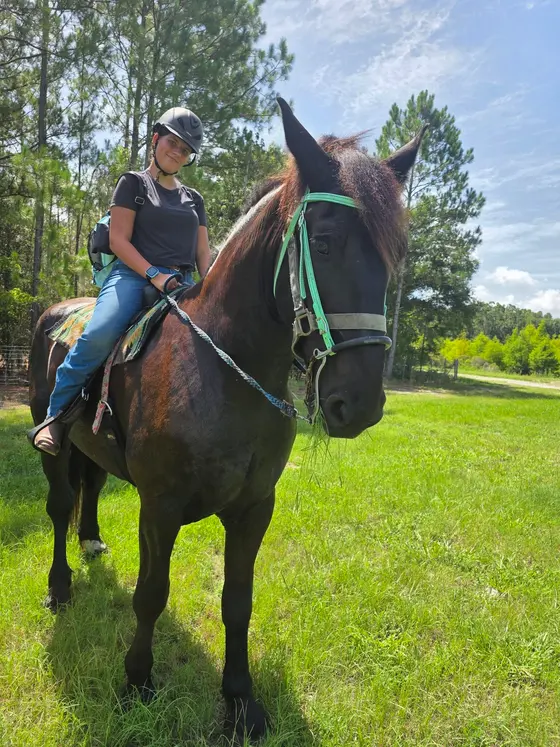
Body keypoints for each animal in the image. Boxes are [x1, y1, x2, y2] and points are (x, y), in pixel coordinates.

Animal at [28, 98, 423, 741]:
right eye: (326, 242)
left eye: (396, 254)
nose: (359, 404)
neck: (223, 369)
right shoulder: (159, 506)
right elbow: (151, 593)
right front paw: (137, 683)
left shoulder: (254, 507)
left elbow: (238, 602)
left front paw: (241, 702)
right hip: (55, 440)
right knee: (60, 504)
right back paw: (60, 586)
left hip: (95, 448)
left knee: (89, 489)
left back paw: (91, 541)